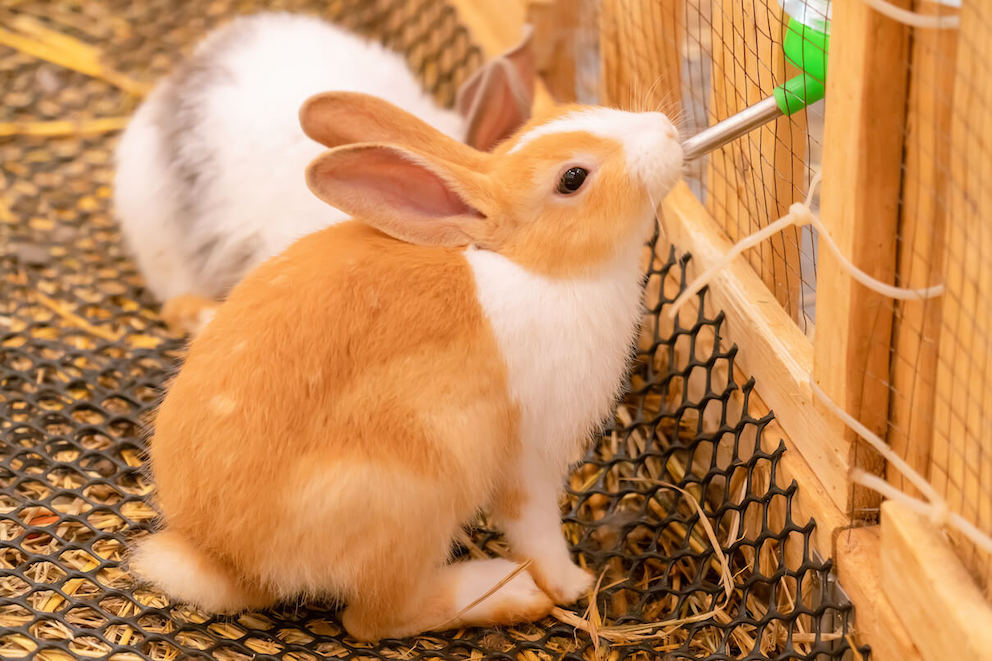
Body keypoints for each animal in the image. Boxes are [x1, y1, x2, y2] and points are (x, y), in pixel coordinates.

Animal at [129, 91, 684, 641]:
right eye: (572, 178)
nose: (667, 132)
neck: (538, 267)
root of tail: (221, 558)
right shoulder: (530, 455)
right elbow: (536, 528)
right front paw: (570, 583)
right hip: (410, 491)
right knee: (374, 619)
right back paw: (507, 593)